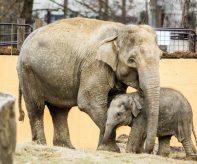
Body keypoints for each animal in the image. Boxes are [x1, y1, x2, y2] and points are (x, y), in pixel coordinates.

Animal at [17, 17, 162, 152]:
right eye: (131, 60)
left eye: (161, 56)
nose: (146, 150)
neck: (119, 29)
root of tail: (24, 42)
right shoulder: (94, 64)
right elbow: (89, 102)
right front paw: (111, 150)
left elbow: (111, 101)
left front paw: (103, 149)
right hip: (27, 72)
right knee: (36, 107)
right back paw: (41, 145)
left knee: (59, 110)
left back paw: (67, 148)